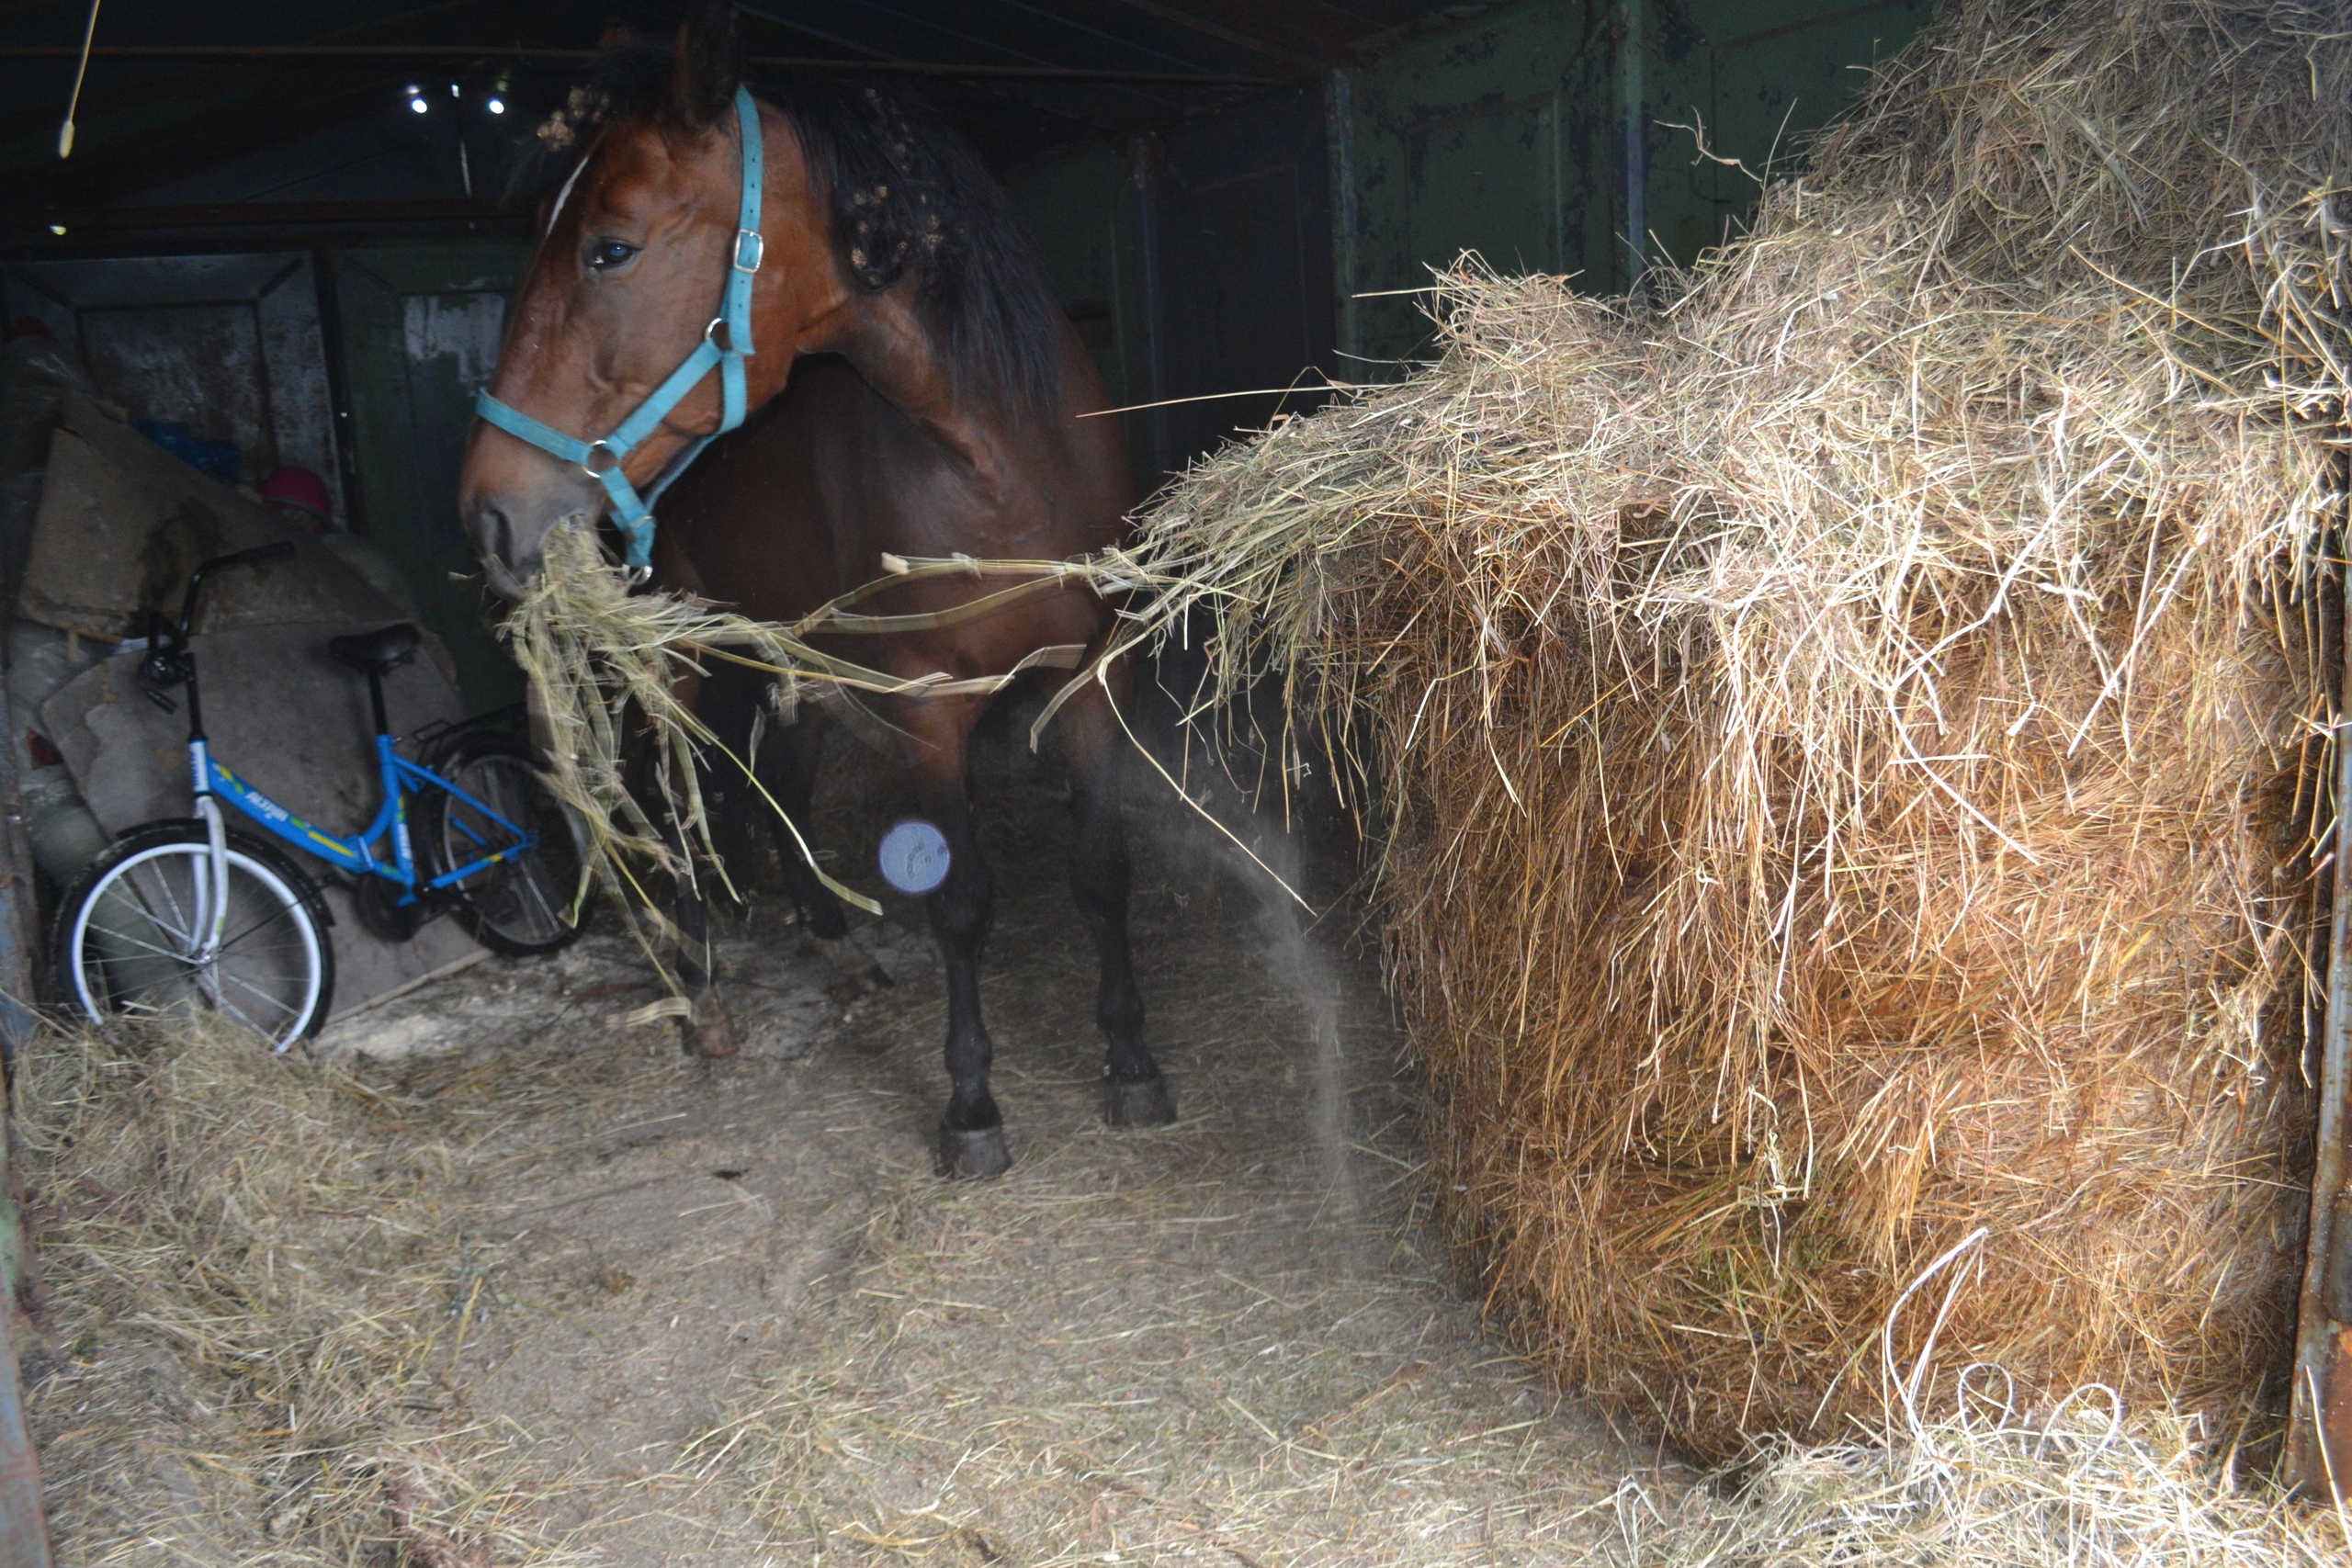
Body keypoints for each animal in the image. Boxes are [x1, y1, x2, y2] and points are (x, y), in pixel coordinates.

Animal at [448, 3, 1166, 1175]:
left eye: (610, 247)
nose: (488, 513)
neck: (999, 463)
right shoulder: (927, 708)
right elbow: (959, 901)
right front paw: (972, 1108)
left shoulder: (1092, 677)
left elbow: (1102, 871)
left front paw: (1133, 1064)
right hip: (680, 660)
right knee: (684, 806)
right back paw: (703, 996)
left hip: (795, 651)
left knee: (777, 783)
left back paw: (833, 953)